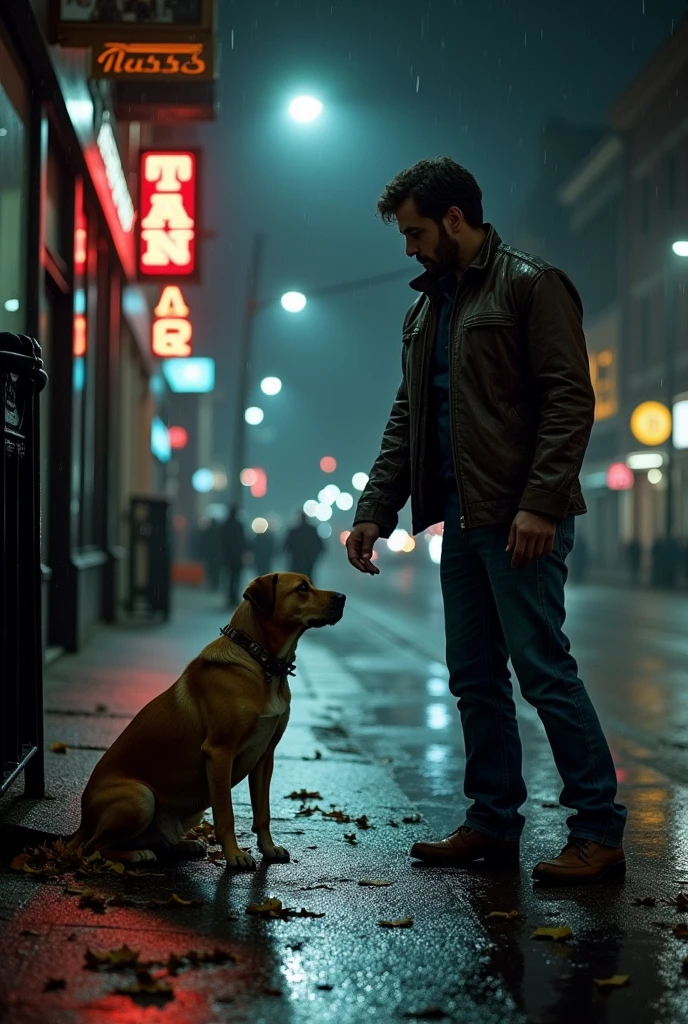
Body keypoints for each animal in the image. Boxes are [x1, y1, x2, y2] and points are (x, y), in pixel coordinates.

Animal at [67, 573, 346, 868]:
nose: (342, 598)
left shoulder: (265, 756)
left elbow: (263, 813)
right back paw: (135, 855)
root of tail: (82, 823)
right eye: (302, 587)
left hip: (188, 811)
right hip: (140, 797)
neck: (262, 663)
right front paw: (234, 855)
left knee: (158, 840)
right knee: (92, 847)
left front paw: (268, 849)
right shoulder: (220, 752)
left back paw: (183, 844)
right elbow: (226, 815)